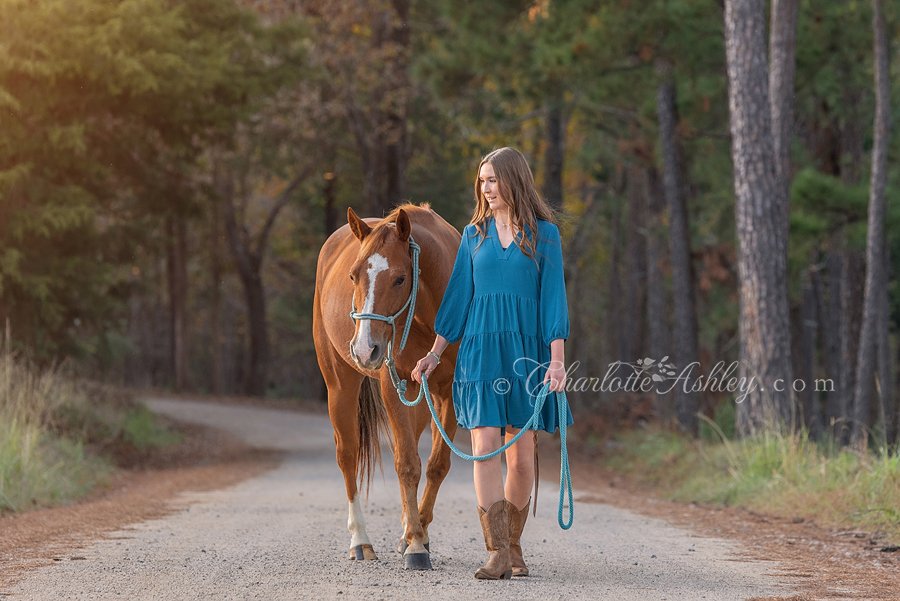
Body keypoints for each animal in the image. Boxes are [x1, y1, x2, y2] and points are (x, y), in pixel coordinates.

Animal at [312, 202, 460, 570]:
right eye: (353, 276)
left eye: (400, 278)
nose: (366, 349)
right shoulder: (393, 386)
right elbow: (406, 464)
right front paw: (417, 546)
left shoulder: (448, 391)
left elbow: (436, 465)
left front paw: (415, 534)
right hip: (340, 384)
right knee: (348, 455)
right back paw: (360, 541)